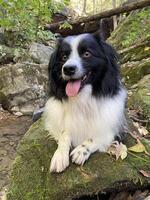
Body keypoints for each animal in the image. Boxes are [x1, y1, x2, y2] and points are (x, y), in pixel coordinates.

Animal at [43, 32, 126, 172]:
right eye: (64, 57)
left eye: (87, 54)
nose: (68, 69)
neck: (82, 97)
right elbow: (64, 133)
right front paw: (60, 155)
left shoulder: (113, 128)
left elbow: (96, 136)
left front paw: (81, 150)